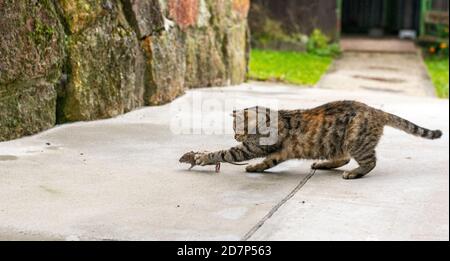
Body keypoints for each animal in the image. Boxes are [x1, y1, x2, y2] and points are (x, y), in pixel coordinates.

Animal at [180, 100, 442, 179]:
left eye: (239, 130)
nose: (235, 135)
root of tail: (376, 111)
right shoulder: (279, 152)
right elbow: (268, 162)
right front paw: (256, 168)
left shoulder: (250, 148)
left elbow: (225, 152)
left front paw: (202, 157)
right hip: (339, 143)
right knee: (343, 158)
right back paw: (323, 164)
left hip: (356, 141)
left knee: (369, 162)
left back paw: (354, 173)